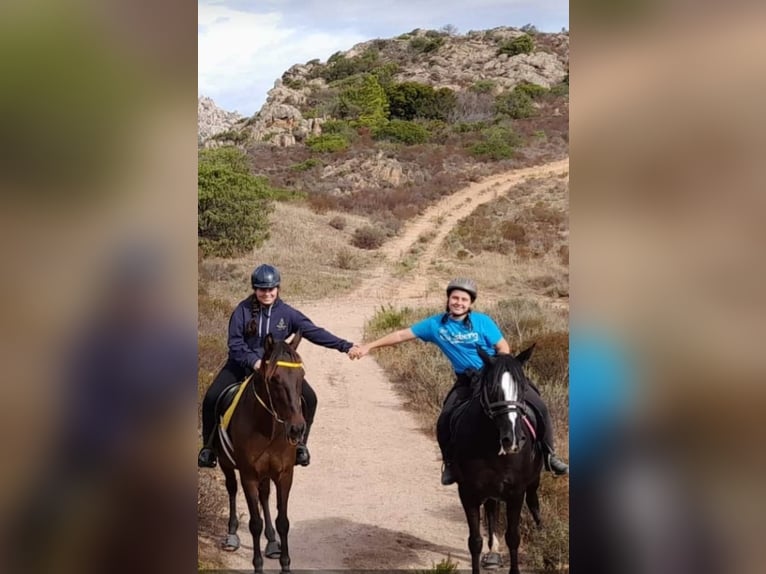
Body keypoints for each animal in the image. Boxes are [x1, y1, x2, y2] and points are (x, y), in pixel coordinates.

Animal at [216, 332, 306, 574]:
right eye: (274, 379)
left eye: (301, 376)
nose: (297, 429)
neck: (268, 430)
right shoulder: (249, 476)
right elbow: (254, 523)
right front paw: (258, 566)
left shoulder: (284, 475)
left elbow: (283, 521)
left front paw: (285, 564)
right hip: (227, 465)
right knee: (231, 489)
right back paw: (232, 535)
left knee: (265, 496)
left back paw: (272, 541)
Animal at [452, 346, 548, 574]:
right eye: (492, 388)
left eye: (522, 388)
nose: (512, 439)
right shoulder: (468, 492)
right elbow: (475, 541)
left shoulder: (516, 492)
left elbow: (513, 537)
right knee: (491, 511)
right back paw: (493, 551)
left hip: (533, 481)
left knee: (534, 502)